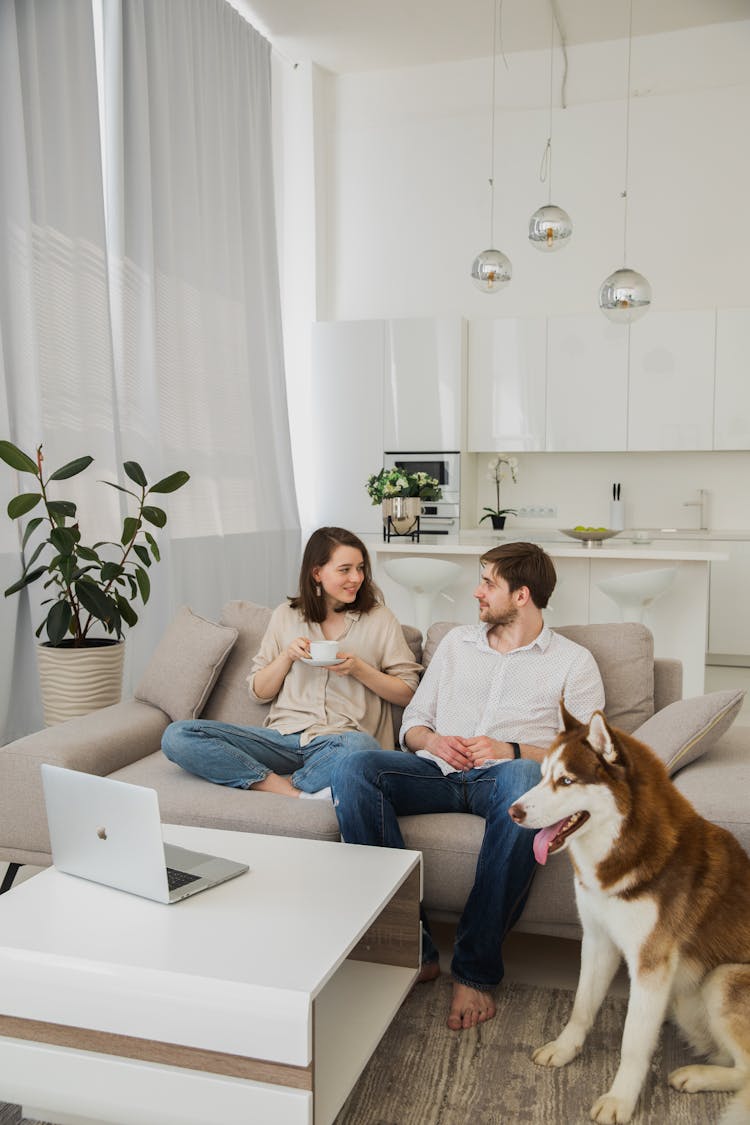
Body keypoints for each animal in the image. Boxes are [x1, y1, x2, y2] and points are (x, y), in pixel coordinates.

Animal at [510, 706, 750, 1120]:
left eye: (566, 780)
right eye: (542, 776)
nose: (513, 811)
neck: (625, 849)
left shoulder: (651, 965)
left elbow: (633, 1043)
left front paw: (620, 1099)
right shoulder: (597, 940)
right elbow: (581, 1006)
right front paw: (564, 1048)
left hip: (725, 978)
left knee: (747, 1070)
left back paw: (697, 1075)